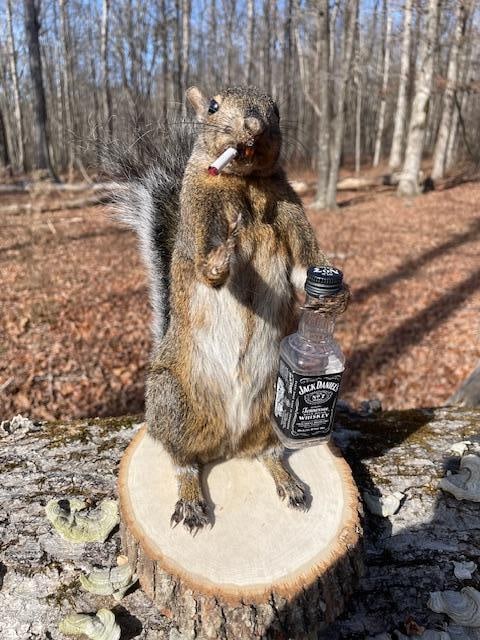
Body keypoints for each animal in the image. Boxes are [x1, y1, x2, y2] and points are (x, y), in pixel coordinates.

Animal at [112, 85, 349, 533]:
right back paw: (190, 499)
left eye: (276, 110)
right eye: (213, 107)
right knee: (183, 462)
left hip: (271, 404)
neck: (247, 184)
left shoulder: (291, 211)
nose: (254, 126)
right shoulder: (198, 216)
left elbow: (302, 272)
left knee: (267, 452)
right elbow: (209, 271)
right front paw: (225, 251)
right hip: (173, 402)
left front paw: (338, 295)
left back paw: (287, 481)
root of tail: (226, 443)